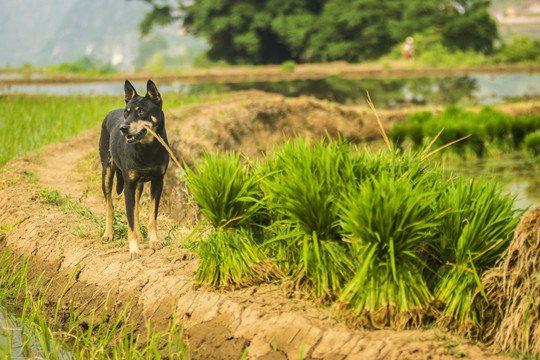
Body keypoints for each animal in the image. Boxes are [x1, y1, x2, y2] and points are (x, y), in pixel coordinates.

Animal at [99, 80, 169, 258]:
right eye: (126, 113)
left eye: (142, 111)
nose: (123, 129)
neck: (147, 148)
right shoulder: (128, 186)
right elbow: (129, 219)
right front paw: (134, 250)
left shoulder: (158, 182)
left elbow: (152, 216)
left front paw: (154, 241)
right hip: (106, 173)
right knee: (109, 206)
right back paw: (107, 234)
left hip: (140, 184)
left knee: (136, 208)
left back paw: (138, 234)